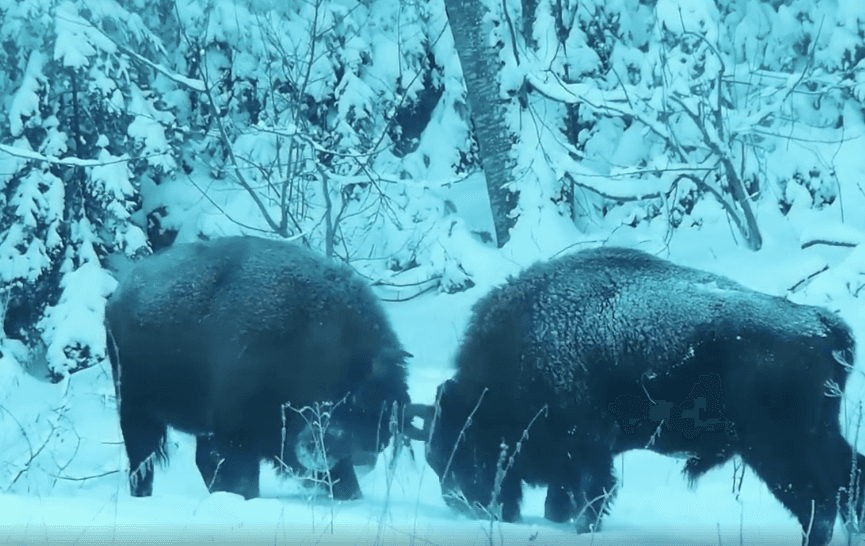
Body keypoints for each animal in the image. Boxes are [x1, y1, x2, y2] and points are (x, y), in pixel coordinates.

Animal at [105, 236, 411, 501]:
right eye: (355, 398)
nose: (366, 456)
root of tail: (116, 297)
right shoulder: (238, 434)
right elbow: (243, 477)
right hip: (135, 410)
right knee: (142, 459)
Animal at [406, 246, 861, 546]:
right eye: (433, 457)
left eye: (464, 445)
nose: (463, 503)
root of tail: (820, 321)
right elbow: (564, 500)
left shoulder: (587, 448)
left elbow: (590, 497)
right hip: (821, 435)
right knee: (848, 483)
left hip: (777, 450)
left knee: (818, 505)